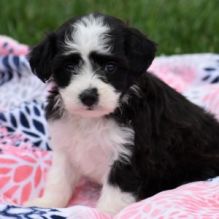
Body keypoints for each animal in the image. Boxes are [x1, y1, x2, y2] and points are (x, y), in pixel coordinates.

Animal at [26, 12, 219, 215]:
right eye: (69, 67)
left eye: (110, 67)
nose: (88, 96)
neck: (94, 119)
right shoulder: (66, 144)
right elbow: (59, 178)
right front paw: (46, 203)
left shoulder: (129, 154)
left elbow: (115, 189)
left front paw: (104, 213)